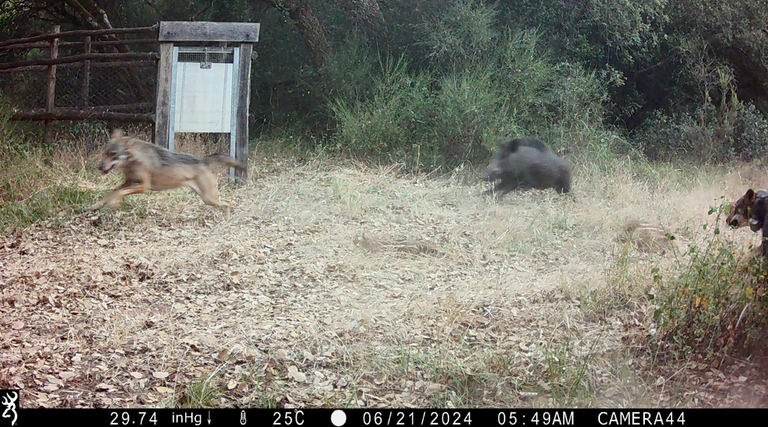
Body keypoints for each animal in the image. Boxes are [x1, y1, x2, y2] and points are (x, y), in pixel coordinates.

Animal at [89, 129, 243, 212]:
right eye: (105, 153)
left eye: (113, 154)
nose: (99, 167)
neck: (135, 159)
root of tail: (202, 160)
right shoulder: (129, 182)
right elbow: (111, 192)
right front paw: (96, 205)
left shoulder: (144, 186)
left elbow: (119, 193)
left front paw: (113, 203)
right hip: (207, 199)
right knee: (227, 203)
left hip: (209, 198)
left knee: (229, 203)